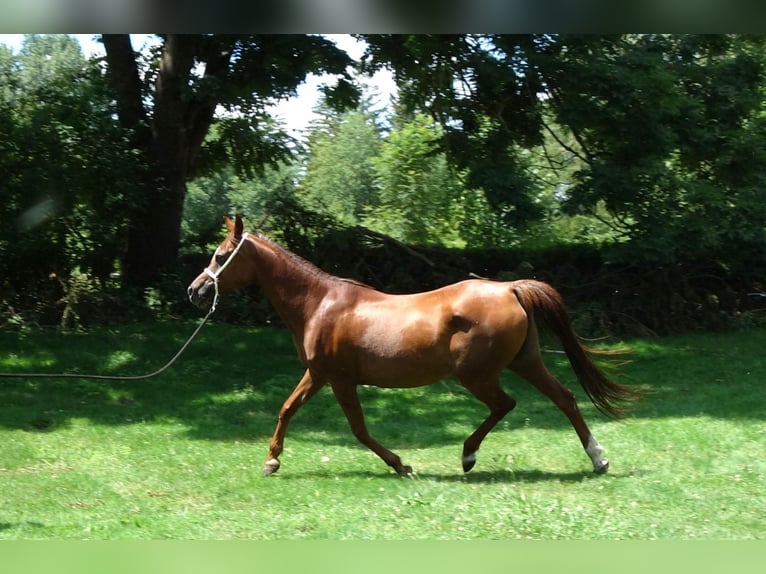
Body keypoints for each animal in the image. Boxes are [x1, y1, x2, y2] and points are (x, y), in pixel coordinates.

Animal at [188, 215, 639, 477]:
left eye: (220, 255)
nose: (195, 291)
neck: (320, 303)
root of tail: (510, 288)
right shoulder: (318, 374)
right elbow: (286, 409)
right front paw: (272, 460)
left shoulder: (338, 378)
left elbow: (358, 429)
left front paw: (401, 465)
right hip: (525, 362)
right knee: (565, 398)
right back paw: (598, 459)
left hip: (476, 373)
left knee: (505, 405)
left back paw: (468, 456)